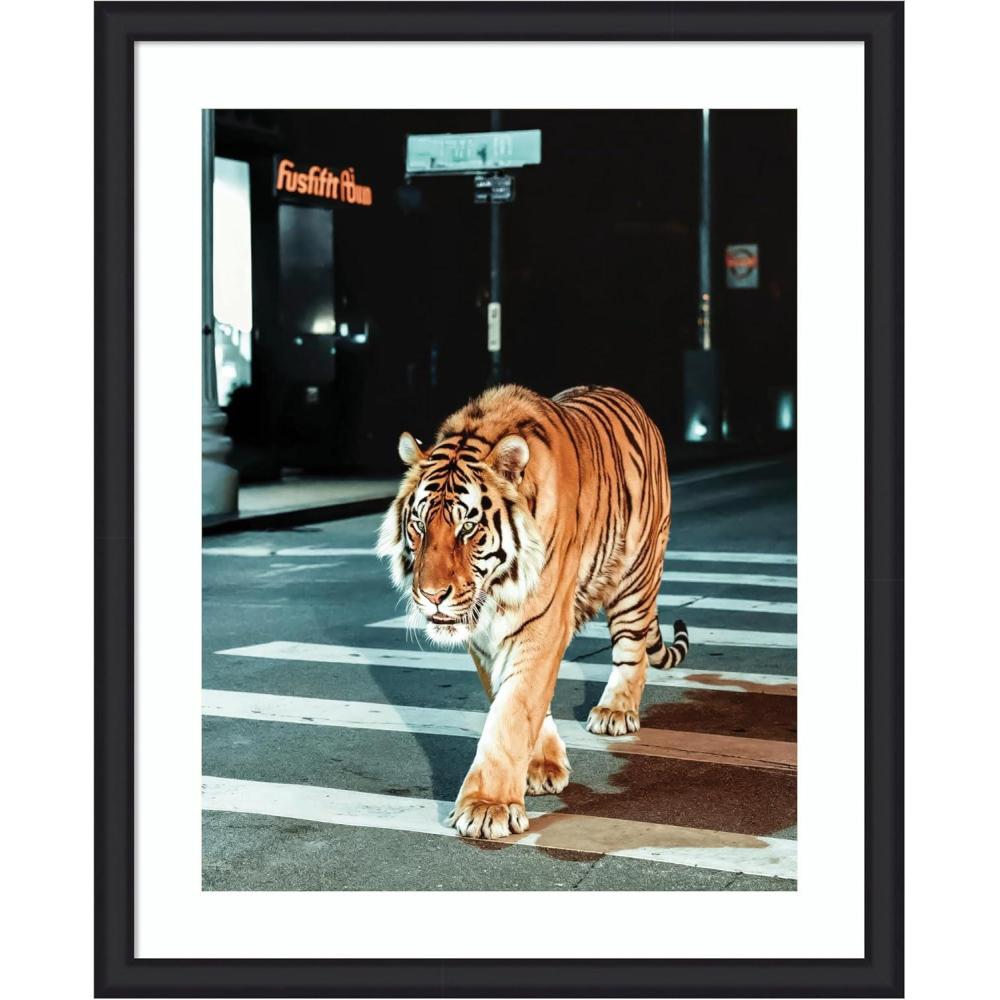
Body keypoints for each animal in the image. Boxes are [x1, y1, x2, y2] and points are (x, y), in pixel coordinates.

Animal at [377, 384, 689, 840]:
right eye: (419, 524)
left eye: (467, 528)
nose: (432, 595)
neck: (496, 589)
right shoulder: (484, 637)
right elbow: (515, 699)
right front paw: (541, 767)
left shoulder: (540, 623)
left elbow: (513, 710)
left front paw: (486, 807)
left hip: (635, 575)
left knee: (632, 650)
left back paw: (615, 711)